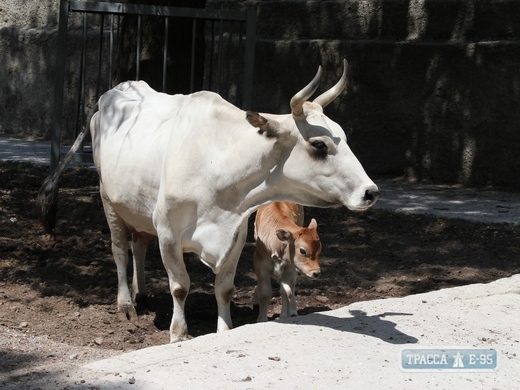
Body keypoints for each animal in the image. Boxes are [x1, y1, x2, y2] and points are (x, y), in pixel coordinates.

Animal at [37, 59, 378, 342]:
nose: (370, 191)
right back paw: (125, 304)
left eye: (345, 137)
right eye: (319, 144)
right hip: (109, 199)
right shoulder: (169, 233)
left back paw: (142, 293)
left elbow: (224, 289)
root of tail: (113, 92)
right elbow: (180, 286)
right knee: (120, 250)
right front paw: (178, 334)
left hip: (140, 207)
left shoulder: (236, 235)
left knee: (139, 245)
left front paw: (224, 329)